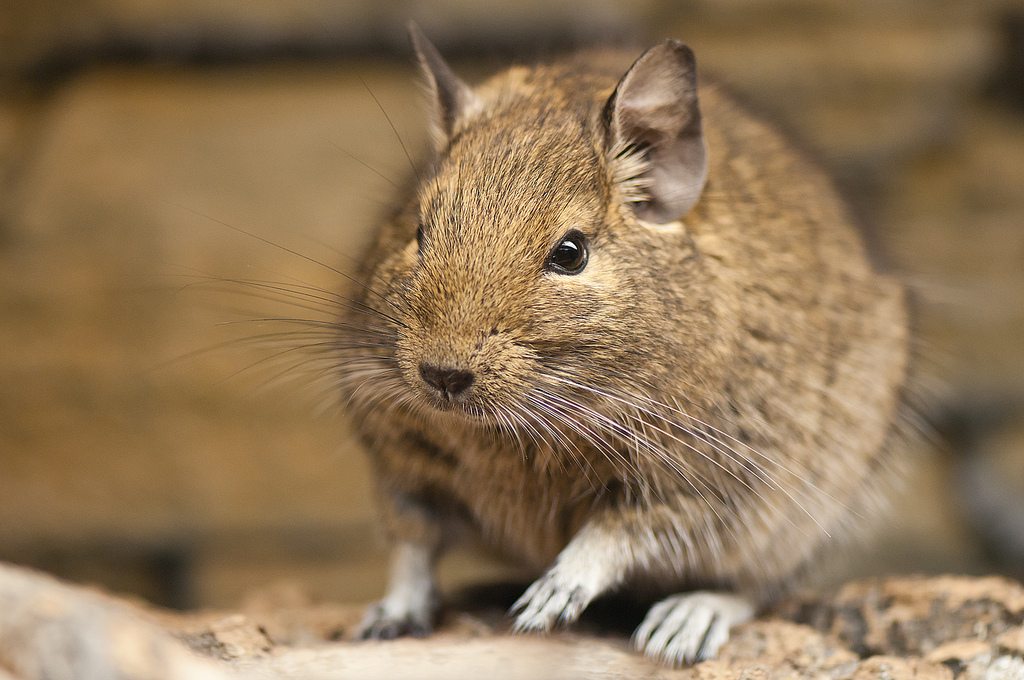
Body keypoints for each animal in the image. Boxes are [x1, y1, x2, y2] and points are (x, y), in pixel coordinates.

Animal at [338, 24, 911, 665]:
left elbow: (618, 536)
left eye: (570, 253)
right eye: (417, 230)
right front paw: (388, 616)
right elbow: (412, 544)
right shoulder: (400, 456)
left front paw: (548, 602)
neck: (520, 427)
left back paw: (685, 621)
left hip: (812, 510)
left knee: (759, 585)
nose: (441, 376)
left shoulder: (708, 478)